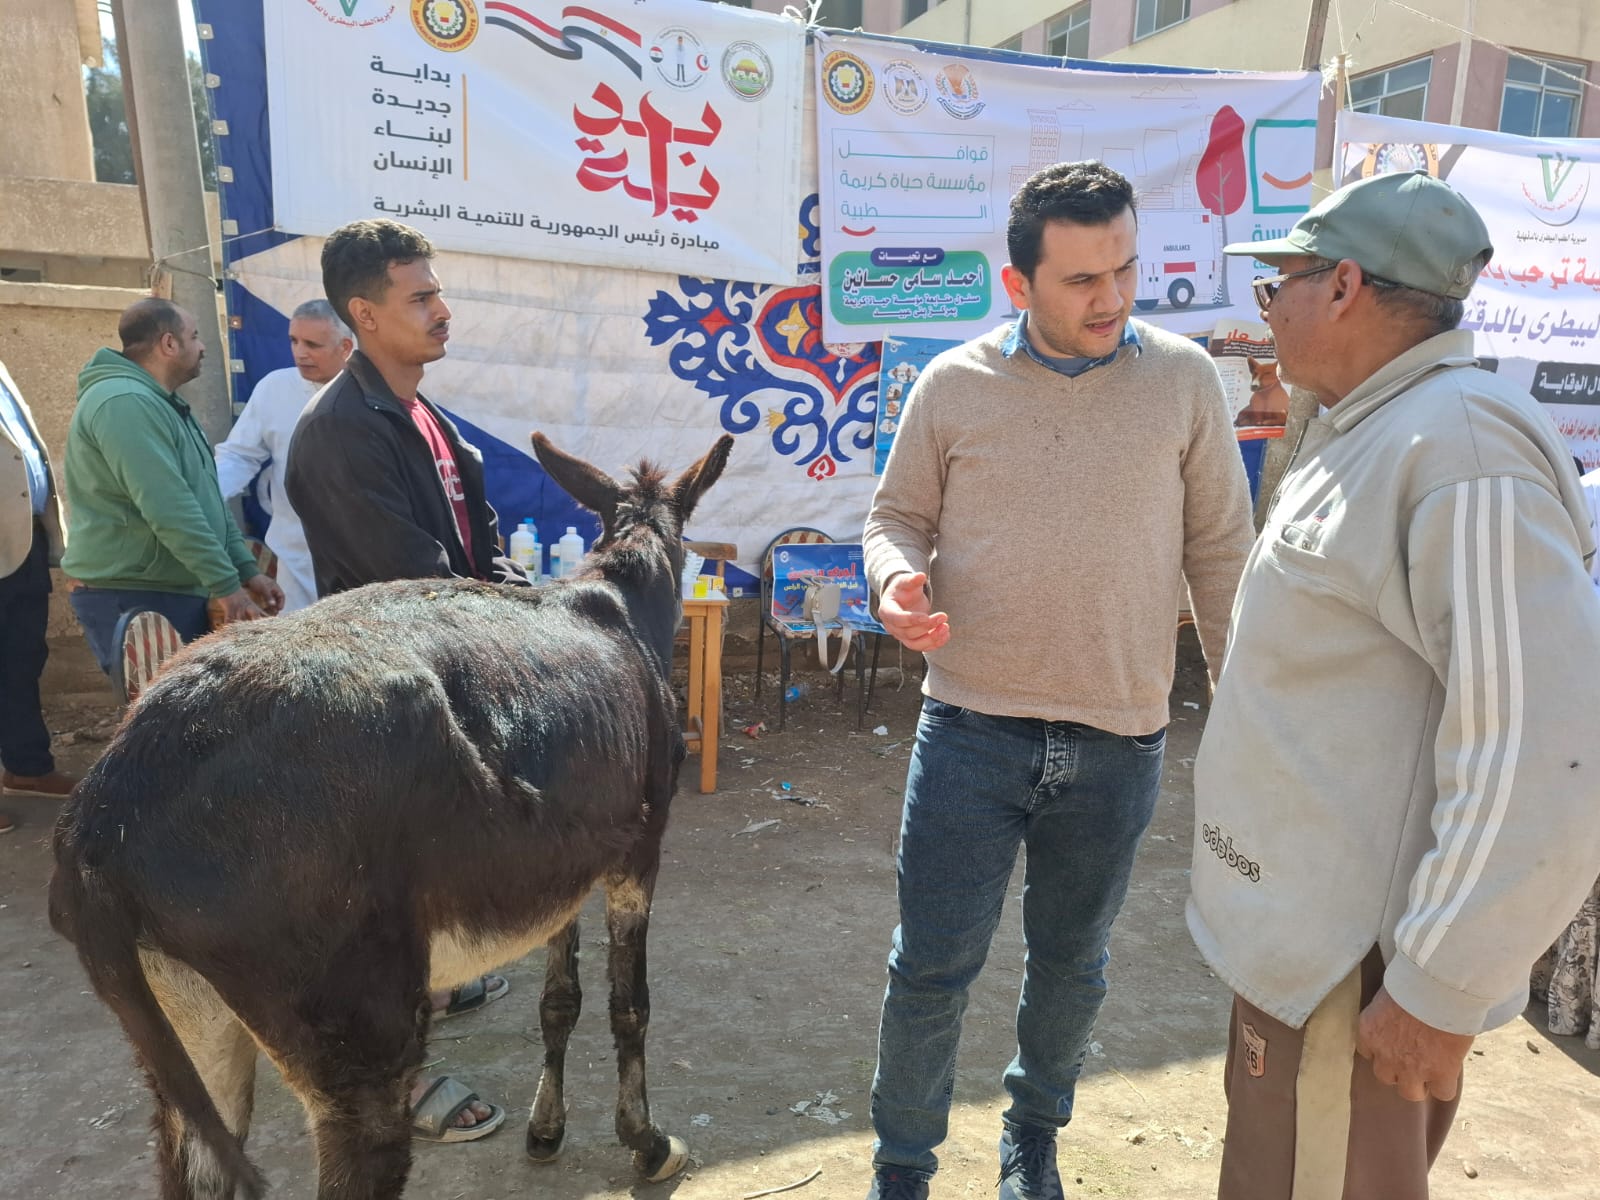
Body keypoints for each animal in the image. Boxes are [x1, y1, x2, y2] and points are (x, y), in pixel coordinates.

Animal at [48, 432, 734, 1199]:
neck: (624, 597)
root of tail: (102, 818)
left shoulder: (563, 871)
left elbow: (560, 1001)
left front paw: (546, 1130)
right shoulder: (638, 853)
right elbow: (630, 1004)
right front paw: (645, 1142)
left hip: (191, 1026)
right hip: (358, 1033)